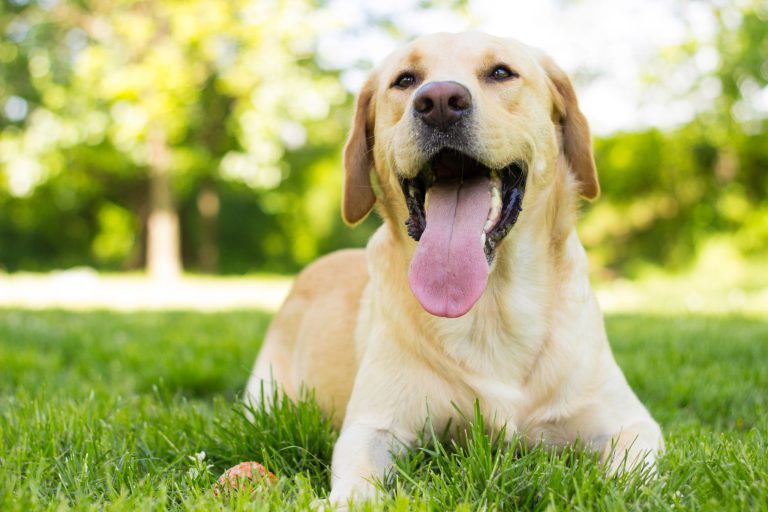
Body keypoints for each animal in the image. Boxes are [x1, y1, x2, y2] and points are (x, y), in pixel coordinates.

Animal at [244, 31, 660, 504]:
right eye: (405, 80)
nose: (440, 101)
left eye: (501, 72)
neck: (490, 306)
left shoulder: (632, 423)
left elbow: (629, 476)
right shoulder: (374, 424)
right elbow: (358, 478)